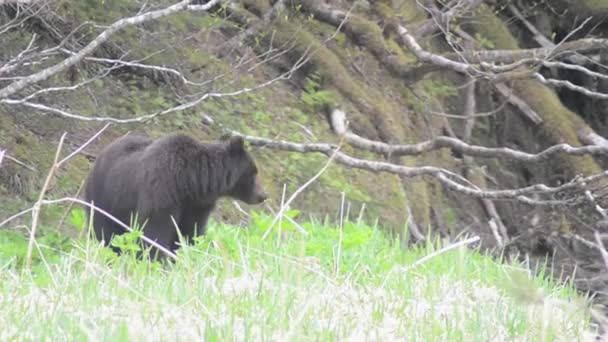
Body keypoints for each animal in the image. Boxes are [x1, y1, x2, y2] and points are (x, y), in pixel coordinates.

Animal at [83, 132, 268, 258]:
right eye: (253, 173)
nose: (263, 195)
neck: (190, 182)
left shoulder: (196, 205)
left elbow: (191, 232)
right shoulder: (161, 193)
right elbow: (155, 233)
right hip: (104, 199)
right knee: (106, 233)